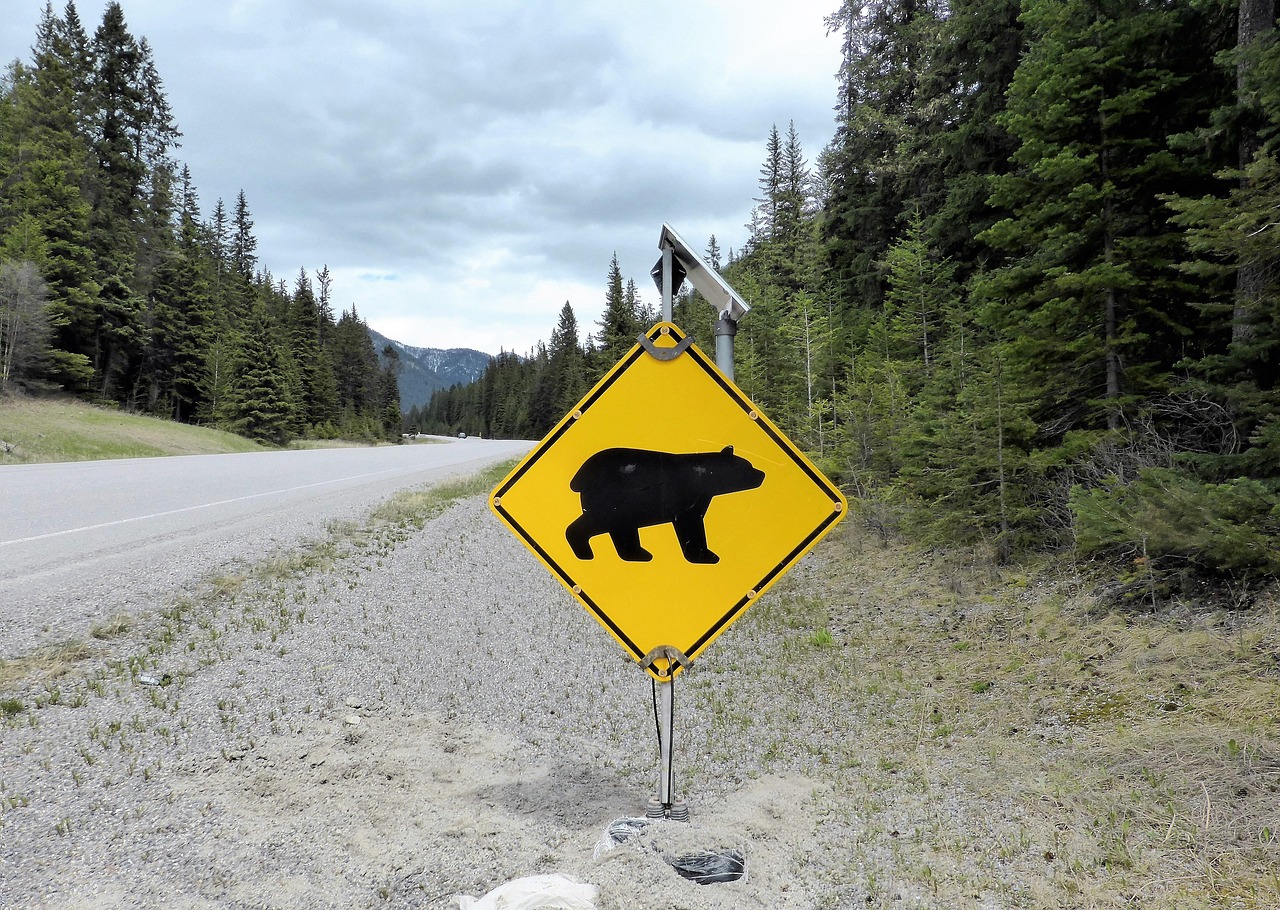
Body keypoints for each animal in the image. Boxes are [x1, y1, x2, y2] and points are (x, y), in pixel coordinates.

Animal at [565, 446, 765, 564]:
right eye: (748, 466)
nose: (762, 474)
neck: (704, 476)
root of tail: (579, 477)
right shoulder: (686, 497)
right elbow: (691, 525)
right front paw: (706, 556)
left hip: (625, 510)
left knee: (623, 530)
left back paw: (640, 554)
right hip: (611, 503)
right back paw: (584, 552)